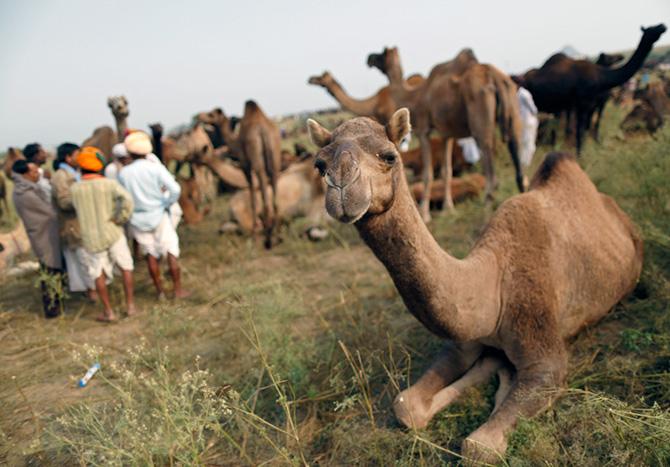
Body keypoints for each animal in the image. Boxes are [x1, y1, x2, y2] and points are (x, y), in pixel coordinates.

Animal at [197, 102, 280, 249]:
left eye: (211, 114)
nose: (199, 116)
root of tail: (263, 130)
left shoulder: (245, 165)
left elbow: (252, 196)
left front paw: (254, 234)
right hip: (275, 157)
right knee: (275, 188)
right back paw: (276, 234)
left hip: (256, 160)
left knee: (263, 187)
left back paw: (268, 238)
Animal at [310, 109, 644, 464]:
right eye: (320, 164)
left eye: (389, 156)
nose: (343, 187)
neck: (493, 286)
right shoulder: (461, 342)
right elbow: (406, 406)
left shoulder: (545, 353)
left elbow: (478, 447)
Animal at [370, 47, 528, 221]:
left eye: (381, 54)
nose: (369, 59)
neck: (415, 96)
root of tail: (495, 77)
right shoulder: (447, 134)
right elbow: (447, 171)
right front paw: (448, 208)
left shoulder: (423, 130)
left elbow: (428, 173)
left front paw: (425, 213)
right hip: (513, 105)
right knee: (517, 149)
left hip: (481, 117)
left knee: (489, 161)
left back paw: (487, 209)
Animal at [520, 23, 668, 154]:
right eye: (651, 29)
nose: (663, 26)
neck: (601, 77)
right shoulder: (583, 104)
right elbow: (581, 130)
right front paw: (580, 154)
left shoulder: (589, 105)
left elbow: (586, 128)